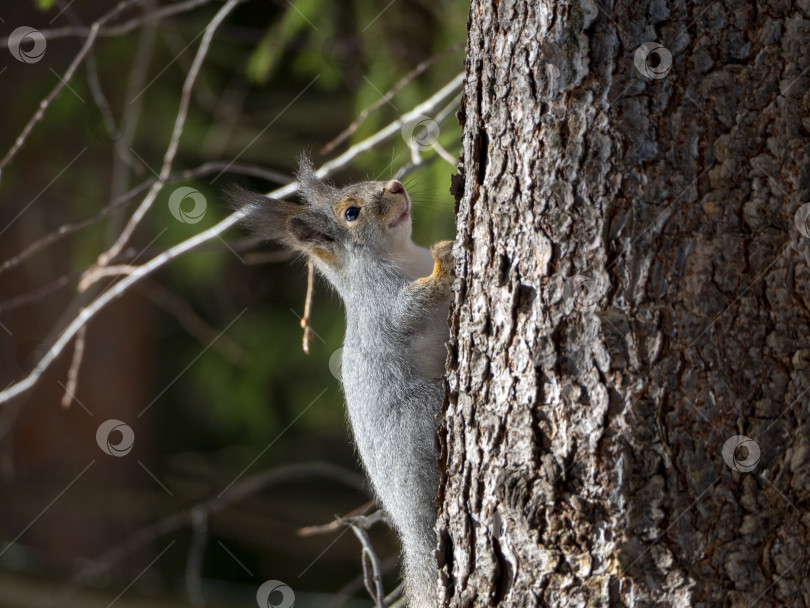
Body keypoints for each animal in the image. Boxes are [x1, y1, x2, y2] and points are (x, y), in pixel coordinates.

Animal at [227, 158, 452, 608]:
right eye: (351, 213)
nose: (396, 186)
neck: (400, 254)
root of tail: (411, 525)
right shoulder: (383, 307)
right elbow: (411, 308)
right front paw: (444, 265)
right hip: (422, 419)